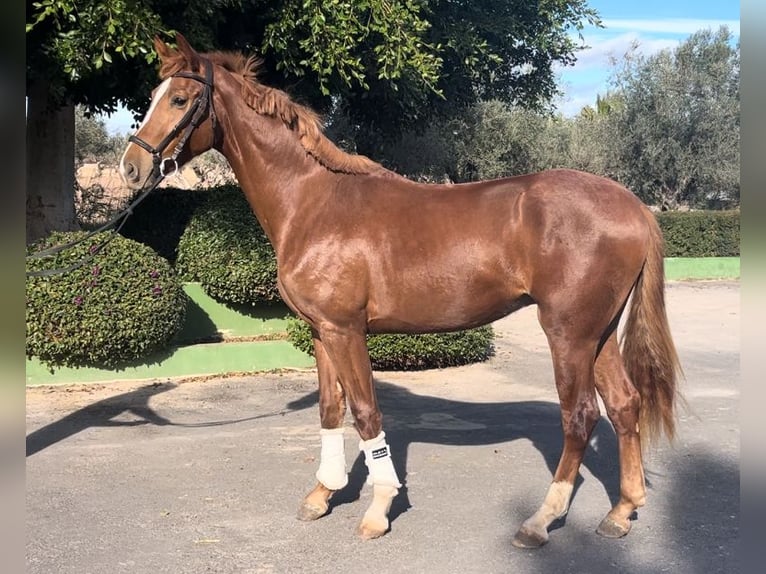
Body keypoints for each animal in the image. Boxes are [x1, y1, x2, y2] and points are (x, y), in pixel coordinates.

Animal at [121, 35, 684, 548]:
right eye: (152, 94)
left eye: (178, 99)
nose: (131, 167)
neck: (314, 202)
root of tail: (634, 206)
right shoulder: (321, 332)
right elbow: (331, 409)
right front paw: (322, 495)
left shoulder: (346, 330)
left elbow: (366, 412)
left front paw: (378, 509)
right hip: (598, 333)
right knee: (625, 405)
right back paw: (621, 511)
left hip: (568, 334)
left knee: (580, 416)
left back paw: (540, 520)